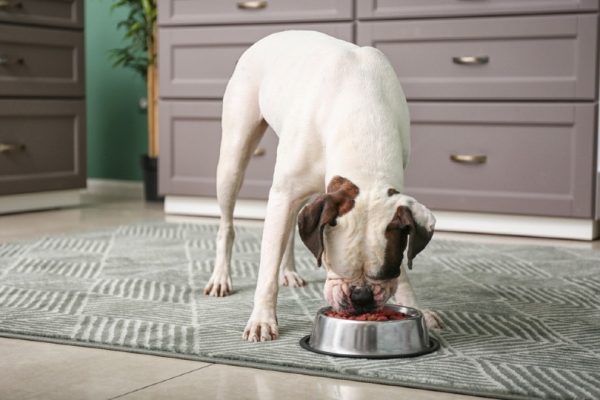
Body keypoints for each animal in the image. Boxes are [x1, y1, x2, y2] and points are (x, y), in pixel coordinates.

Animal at [204, 30, 442, 340]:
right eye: (334, 266)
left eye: (385, 272)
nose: (361, 296)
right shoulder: (284, 194)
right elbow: (266, 270)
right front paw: (262, 319)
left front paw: (416, 307)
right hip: (233, 158)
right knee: (228, 225)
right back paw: (221, 277)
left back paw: (288, 271)